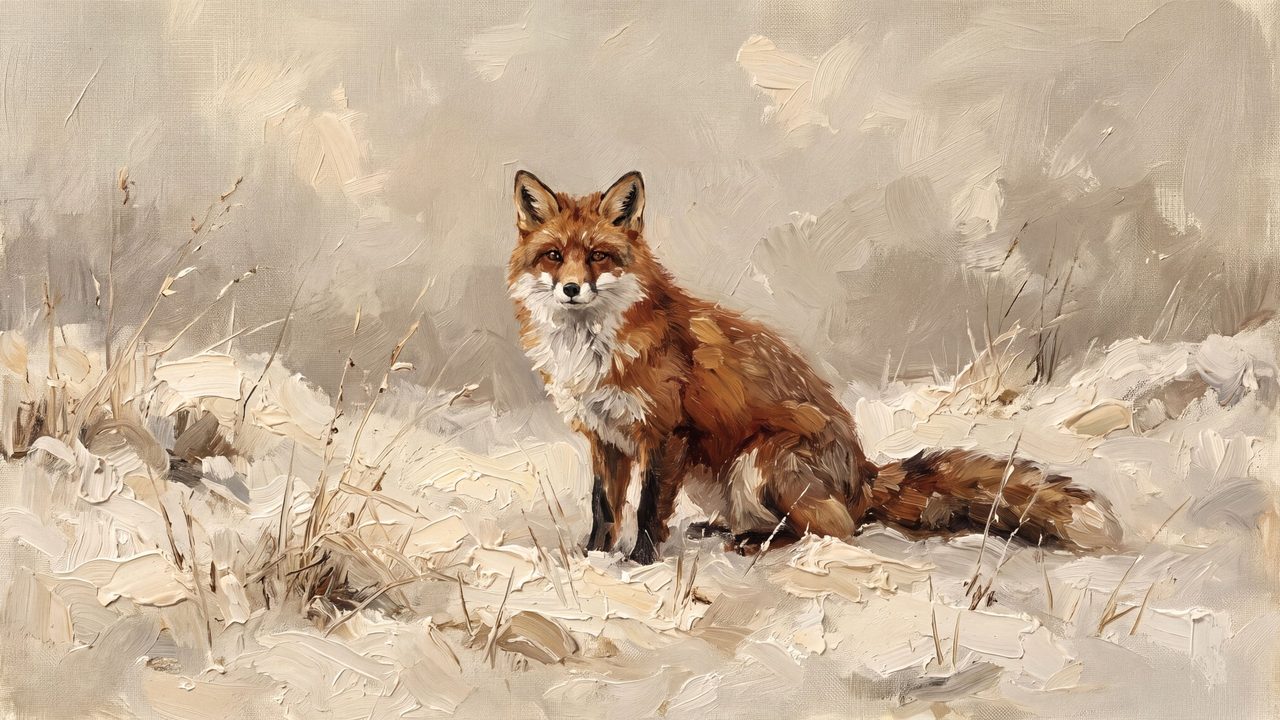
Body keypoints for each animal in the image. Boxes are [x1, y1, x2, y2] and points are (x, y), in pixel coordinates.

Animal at [508, 170, 1122, 565]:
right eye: (554, 255)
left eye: (599, 256)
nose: (570, 289)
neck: (592, 349)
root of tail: (862, 474)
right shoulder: (605, 436)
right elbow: (604, 508)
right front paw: (592, 560)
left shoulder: (667, 433)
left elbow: (647, 510)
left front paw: (639, 564)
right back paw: (723, 529)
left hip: (761, 461)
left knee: (834, 531)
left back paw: (754, 543)